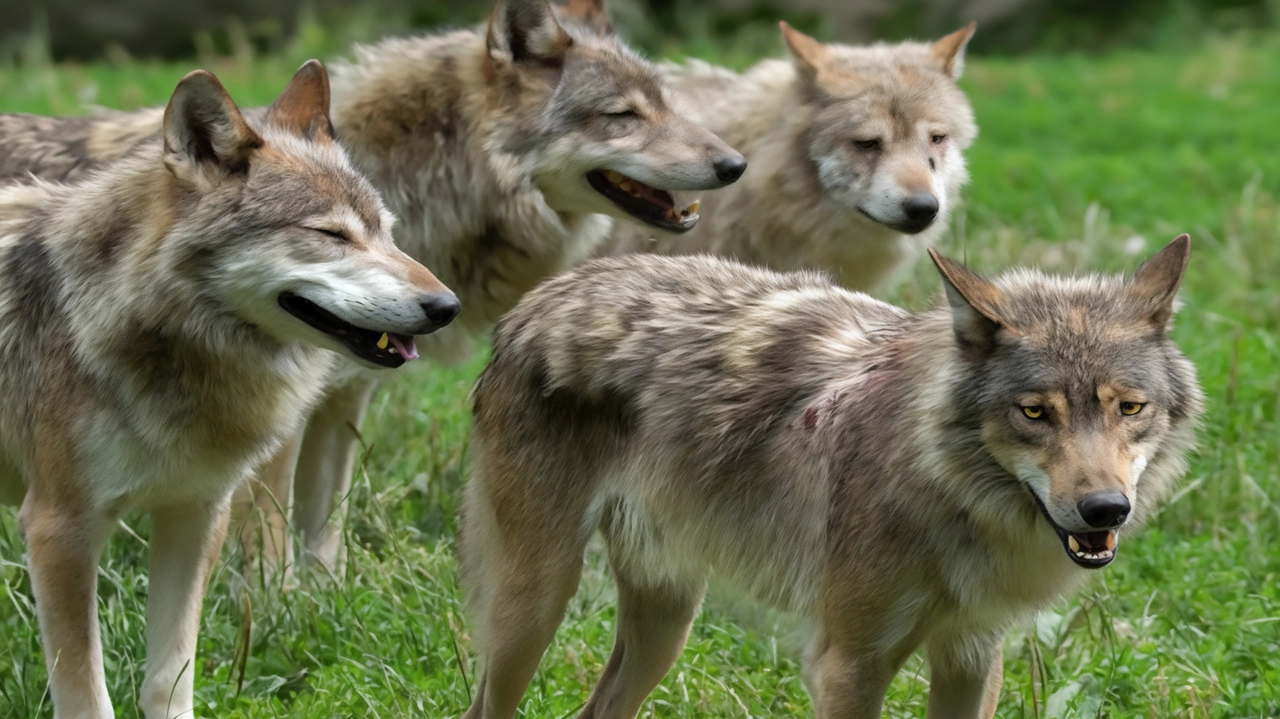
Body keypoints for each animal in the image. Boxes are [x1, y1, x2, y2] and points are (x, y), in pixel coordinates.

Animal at [0, 0, 747, 573]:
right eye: (624, 116)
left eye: (668, 104)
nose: (734, 164)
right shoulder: (279, 421)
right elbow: (269, 532)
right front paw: (270, 604)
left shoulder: (341, 399)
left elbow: (321, 526)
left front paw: (316, 600)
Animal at [0, 63, 458, 716]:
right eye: (332, 235)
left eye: (387, 234)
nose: (447, 307)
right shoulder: (59, 529)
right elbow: (88, 695)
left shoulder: (196, 514)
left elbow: (169, 678)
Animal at [458, 236, 1198, 716]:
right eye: (1035, 412)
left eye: (1129, 408)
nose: (1105, 509)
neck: (944, 492)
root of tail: (539, 297)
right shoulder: (848, 665)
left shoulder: (970, 655)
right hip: (534, 607)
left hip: (666, 622)